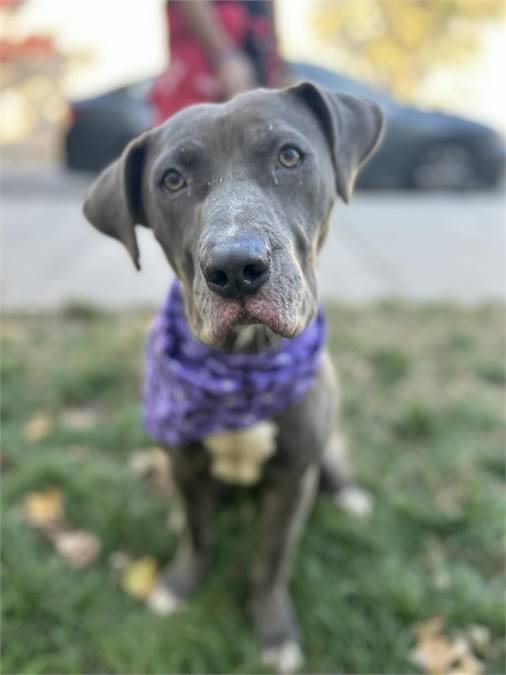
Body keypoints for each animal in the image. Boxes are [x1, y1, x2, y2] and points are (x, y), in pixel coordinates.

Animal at [84, 82, 384, 672]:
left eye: (289, 155)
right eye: (171, 180)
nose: (235, 268)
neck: (242, 367)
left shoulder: (292, 479)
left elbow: (271, 559)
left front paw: (274, 630)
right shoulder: (184, 464)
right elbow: (199, 533)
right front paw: (179, 585)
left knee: (335, 468)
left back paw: (351, 498)